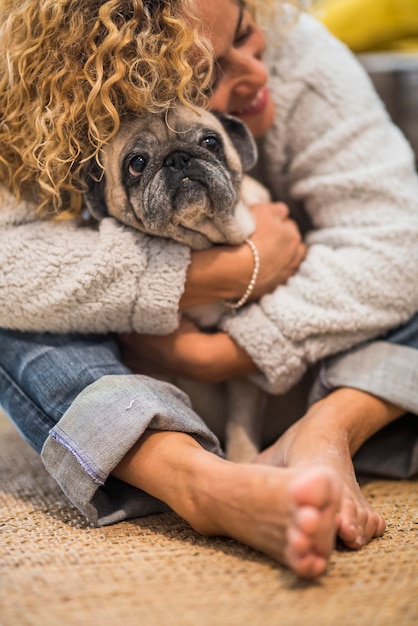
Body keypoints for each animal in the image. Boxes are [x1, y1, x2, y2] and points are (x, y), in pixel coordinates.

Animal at [85, 102, 272, 460]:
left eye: (211, 142)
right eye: (136, 164)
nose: (178, 158)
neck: (202, 242)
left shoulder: (244, 378)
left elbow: (241, 429)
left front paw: (245, 462)